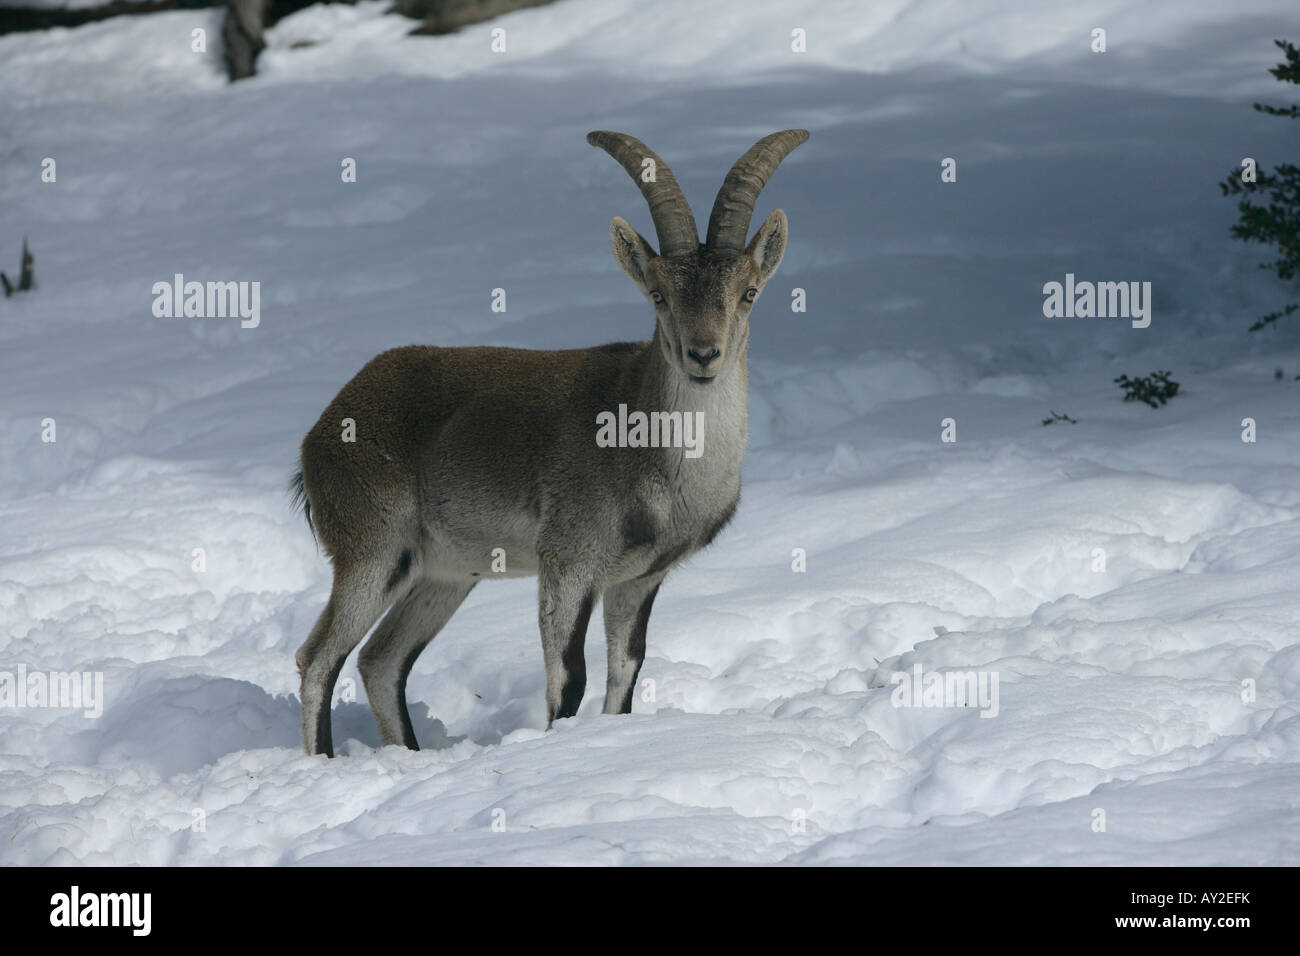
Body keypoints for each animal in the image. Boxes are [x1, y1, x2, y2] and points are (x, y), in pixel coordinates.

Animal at [293, 129, 808, 755]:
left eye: (749, 291)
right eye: (659, 295)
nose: (703, 354)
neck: (655, 454)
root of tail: (320, 434)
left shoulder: (637, 579)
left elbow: (625, 671)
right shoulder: (568, 561)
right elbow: (569, 679)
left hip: (443, 573)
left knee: (380, 660)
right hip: (373, 549)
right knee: (319, 658)